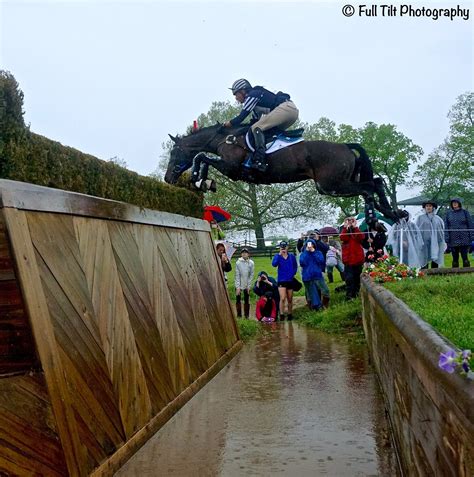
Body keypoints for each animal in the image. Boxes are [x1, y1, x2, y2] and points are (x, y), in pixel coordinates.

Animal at [165, 124, 406, 225]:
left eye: (174, 153)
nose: (168, 178)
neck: (225, 139)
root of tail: (345, 146)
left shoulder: (232, 168)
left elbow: (201, 157)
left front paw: (198, 179)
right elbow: (203, 158)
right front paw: (204, 182)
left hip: (331, 185)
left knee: (368, 188)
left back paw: (374, 219)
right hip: (342, 181)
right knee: (377, 182)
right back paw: (394, 213)